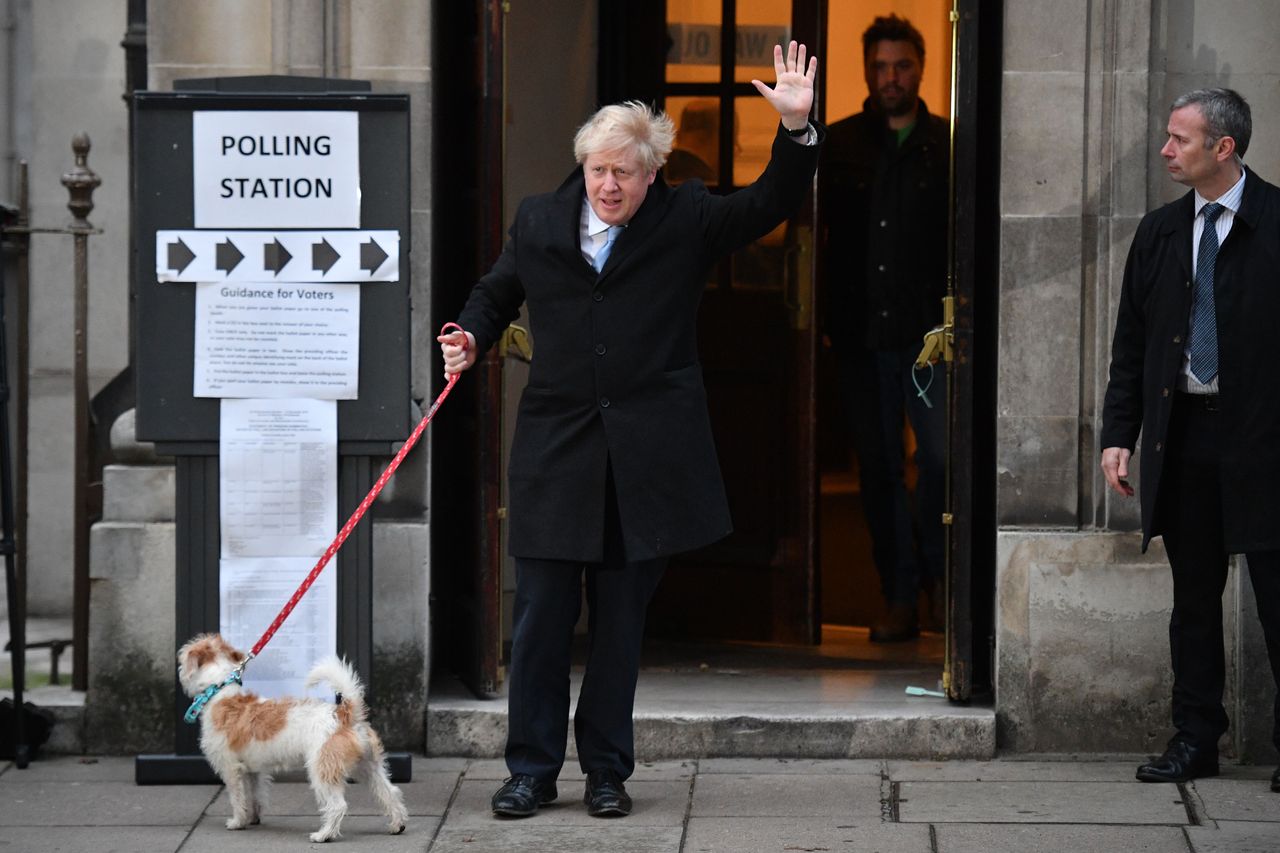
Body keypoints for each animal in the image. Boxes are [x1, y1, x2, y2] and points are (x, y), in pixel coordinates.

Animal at [177, 630, 407, 835]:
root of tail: (344, 714)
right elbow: (255, 796)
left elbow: (237, 798)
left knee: (337, 805)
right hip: (369, 766)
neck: (219, 693)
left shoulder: (231, 769)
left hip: (323, 769)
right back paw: (397, 825)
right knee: (390, 792)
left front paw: (237, 822)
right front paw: (253, 818)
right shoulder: (253, 771)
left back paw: (324, 835)